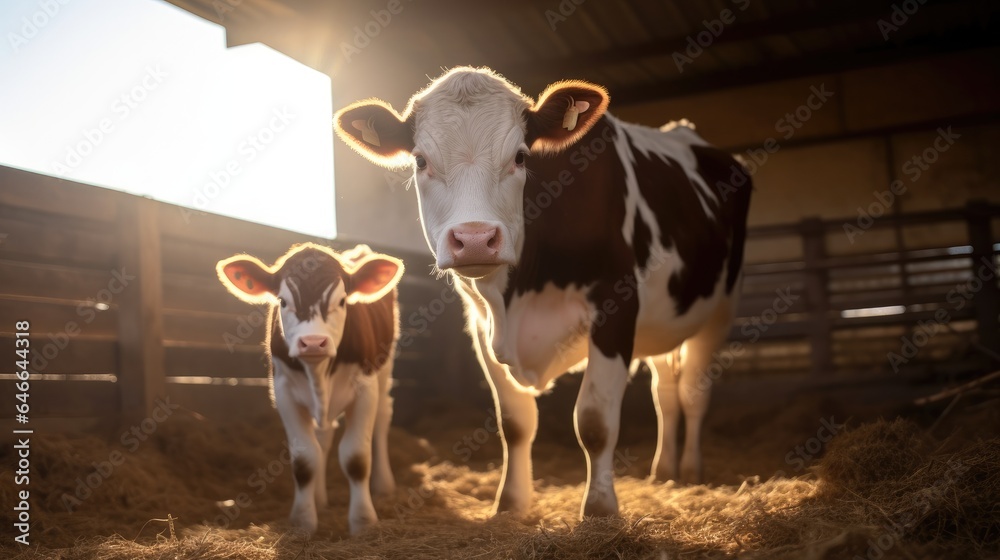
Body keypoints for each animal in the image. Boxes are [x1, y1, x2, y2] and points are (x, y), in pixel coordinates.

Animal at [217, 243, 404, 532]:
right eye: (283, 301)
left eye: (342, 301)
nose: (313, 342)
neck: (319, 374)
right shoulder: (284, 392)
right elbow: (305, 458)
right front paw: (303, 521)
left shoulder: (365, 388)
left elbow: (357, 457)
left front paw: (363, 521)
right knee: (323, 438)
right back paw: (320, 498)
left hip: (384, 368)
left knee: (383, 417)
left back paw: (384, 485)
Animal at [334, 68, 752, 520]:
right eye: (420, 160)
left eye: (520, 157)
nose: (476, 239)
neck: (517, 297)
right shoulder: (481, 323)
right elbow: (515, 422)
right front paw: (510, 504)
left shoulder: (616, 304)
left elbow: (594, 420)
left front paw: (600, 509)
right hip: (661, 323)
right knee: (667, 393)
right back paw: (664, 470)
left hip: (721, 309)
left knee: (693, 392)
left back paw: (690, 469)